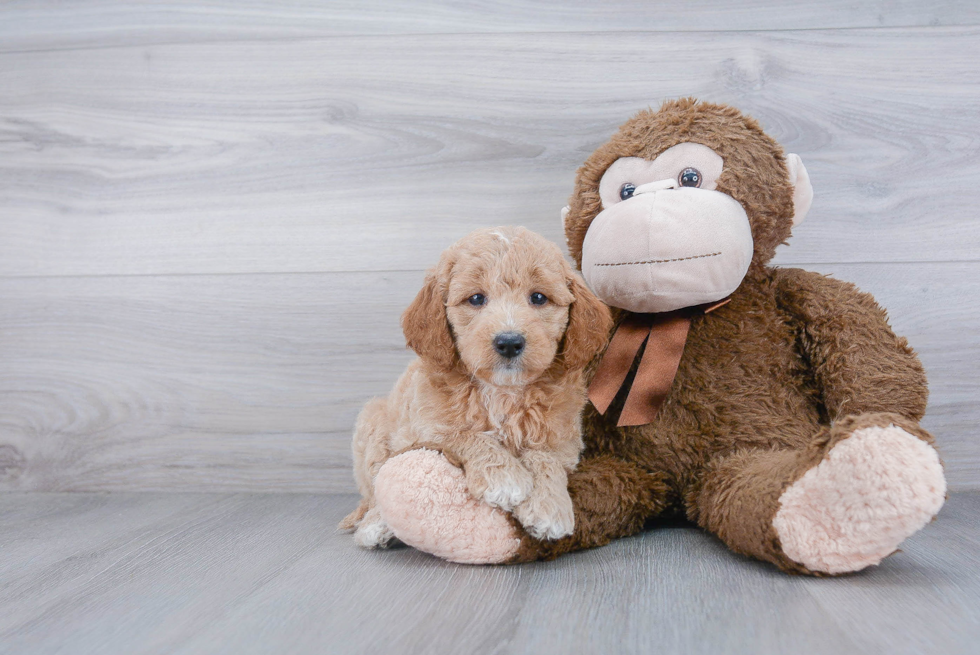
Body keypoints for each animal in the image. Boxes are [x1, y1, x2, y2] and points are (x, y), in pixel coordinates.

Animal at [340, 226, 608, 548]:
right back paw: (375, 525)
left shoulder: (563, 440)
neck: (503, 392)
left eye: (538, 297)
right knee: (374, 492)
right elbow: (465, 435)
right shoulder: (423, 429)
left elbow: (544, 457)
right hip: (372, 424)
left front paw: (549, 506)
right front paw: (503, 477)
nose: (509, 342)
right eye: (476, 298)